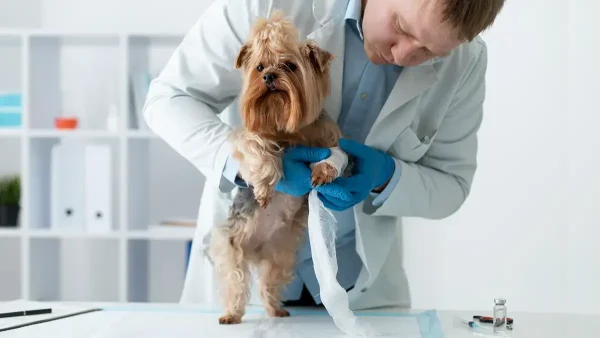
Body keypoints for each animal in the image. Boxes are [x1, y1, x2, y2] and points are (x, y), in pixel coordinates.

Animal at [207, 9, 346, 324]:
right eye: (259, 67)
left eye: (289, 66)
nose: (269, 76)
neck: (290, 130)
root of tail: (256, 249)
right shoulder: (249, 136)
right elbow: (256, 147)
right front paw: (264, 184)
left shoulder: (328, 136)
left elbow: (337, 153)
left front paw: (325, 169)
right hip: (230, 244)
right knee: (235, 281)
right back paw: (231, 314)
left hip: (279, 254)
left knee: (269, 282)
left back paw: (275, 310)